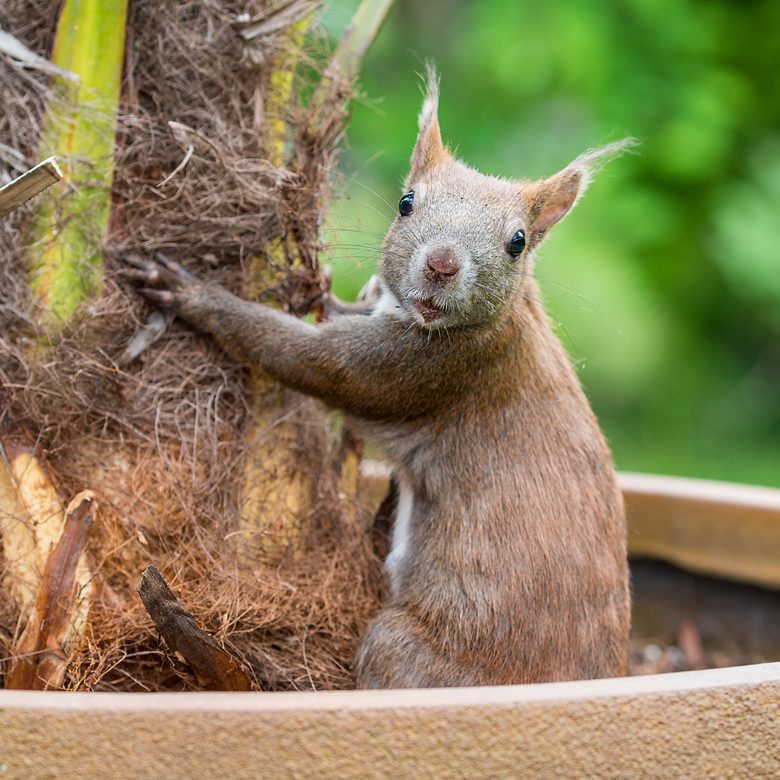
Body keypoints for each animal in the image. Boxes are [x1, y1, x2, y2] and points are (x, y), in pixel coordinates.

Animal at [124, 69, 631, 689]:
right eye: (406, 202)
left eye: (517, 243)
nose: (441, 265)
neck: (501, 319)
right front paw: (318, 288)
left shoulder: (427, 369)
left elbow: (309, 359)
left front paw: (195, 295)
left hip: (404, 649)